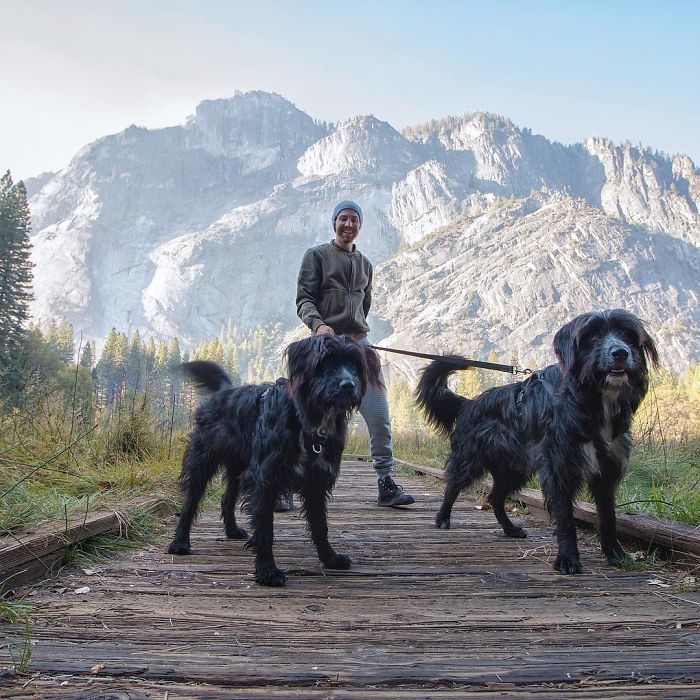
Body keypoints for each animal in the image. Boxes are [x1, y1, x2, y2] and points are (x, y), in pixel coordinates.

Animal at [167, 336, 380, 588]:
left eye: (356, 366)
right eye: (326, 361)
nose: (348, 385)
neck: (307, 419)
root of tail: (225, 390)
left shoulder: (316, 481)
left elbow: (320, 525)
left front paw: (330, 558)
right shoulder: (265, 478)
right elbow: (265, 529)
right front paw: (267, 570)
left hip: (239, 466)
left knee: (227, 498)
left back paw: (232, 530)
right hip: (203, 460)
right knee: (190, 501)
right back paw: (180, 542)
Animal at [418, 310, 660, 576]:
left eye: (627, 334)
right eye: (593, 335)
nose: (620, 353)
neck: (589, 398)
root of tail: (468, 403)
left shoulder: (606, 469)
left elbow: (608, 516)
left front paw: (615, 553)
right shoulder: (559, 466)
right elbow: (565, 517)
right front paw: (567, 558)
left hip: (513, 468)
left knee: (495, 498)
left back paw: (510, 529)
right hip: (470, 460)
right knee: (452, 486)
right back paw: (442, 517)